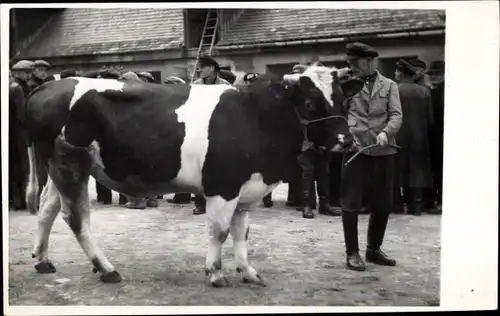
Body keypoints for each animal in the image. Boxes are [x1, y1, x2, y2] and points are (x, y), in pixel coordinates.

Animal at [25, 63, 362, 286]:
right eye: (309, 102)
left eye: (342, 99)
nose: (346, 140)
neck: (256, 116)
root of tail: (48, 85)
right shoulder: (223, 186)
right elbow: (220, 231)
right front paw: (215, 273)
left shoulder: (246, 187)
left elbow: (242, 232)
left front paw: (248, 271)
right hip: (71, 164)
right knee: (75, 218)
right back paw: (106, 269)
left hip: (60, 167)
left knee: (47, 209)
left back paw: (42, 260)